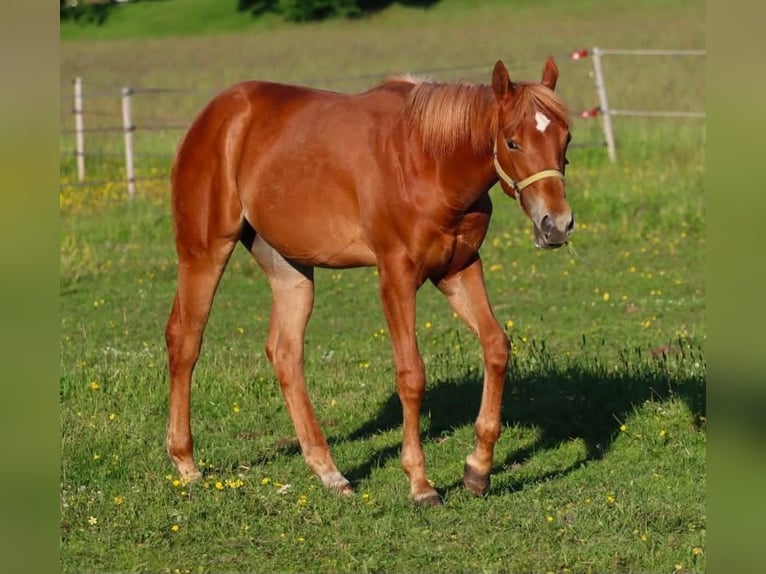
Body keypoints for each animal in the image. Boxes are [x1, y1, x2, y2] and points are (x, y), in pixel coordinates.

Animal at [165, 57, 574, 506]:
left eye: (566, 138)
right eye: (513, 142)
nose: (556, 225)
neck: (428, 161)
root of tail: (214, 117)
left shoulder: (459, 269)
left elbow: (496, 347)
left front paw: (478, 470)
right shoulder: (396, 277)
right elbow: (411, 374)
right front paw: (420, 483)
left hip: (290, 268)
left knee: (285, 354)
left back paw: (329, 472)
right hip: (204, 251)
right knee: (185, 340)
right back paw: (186, 463)